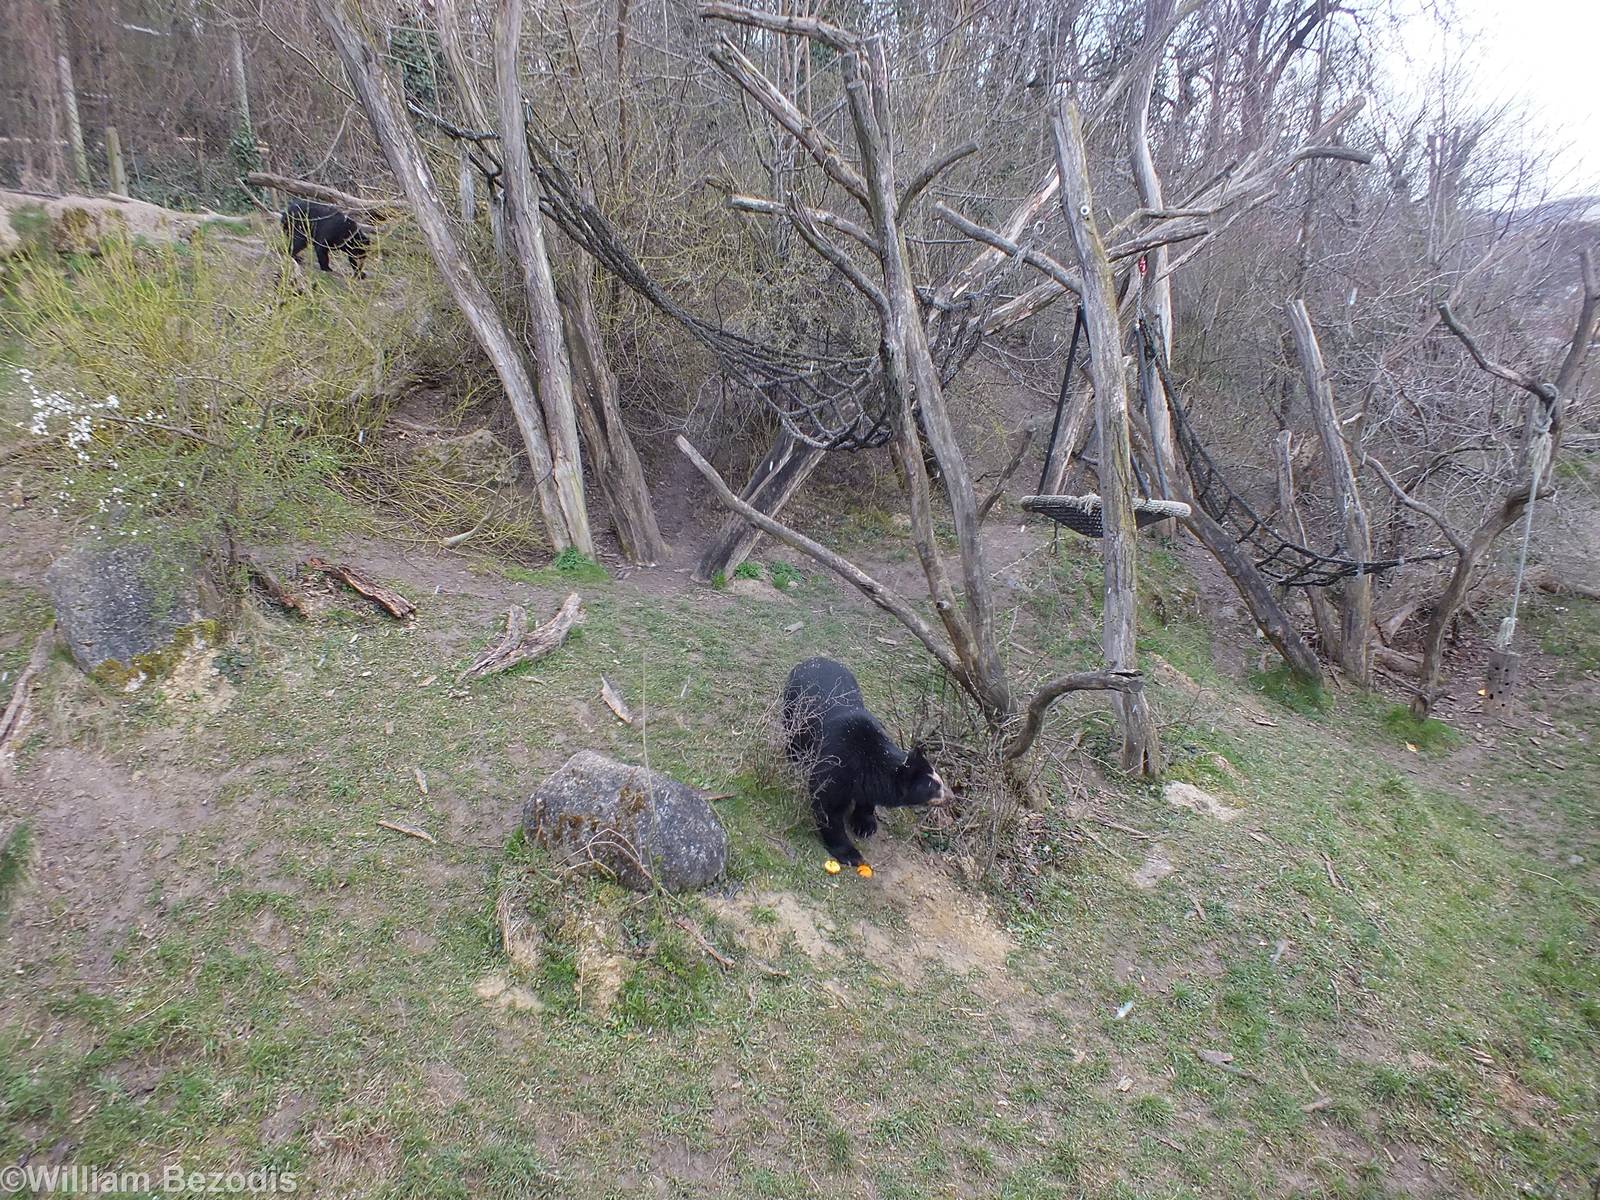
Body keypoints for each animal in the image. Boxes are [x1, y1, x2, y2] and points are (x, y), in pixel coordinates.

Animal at [781, 656, 954, 870]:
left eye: (940, 780)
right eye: (933, 786)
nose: (952, 796)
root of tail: (810, 659)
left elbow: (866, 799)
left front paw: (865, 825)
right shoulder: (836, 766)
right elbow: (827, 804)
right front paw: (851, 854)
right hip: (793, 708)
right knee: (793, 734)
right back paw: (795, 756)